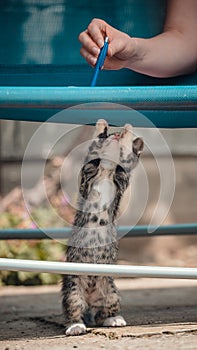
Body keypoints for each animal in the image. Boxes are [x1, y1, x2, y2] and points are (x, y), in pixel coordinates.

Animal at [61, 119, 143, 334]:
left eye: (116, 135)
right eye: (108, 136)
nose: (114, 135)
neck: (106, 170)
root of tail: (90, 299)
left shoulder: (122, 177)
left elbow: (125, 163)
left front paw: (128, 134)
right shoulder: (86, 175)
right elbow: (92, 154)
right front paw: (100, 127)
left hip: (111, 292)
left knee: (102, 314)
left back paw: (114, 319)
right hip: (73, 290)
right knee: (73, 310)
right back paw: (75, 326)